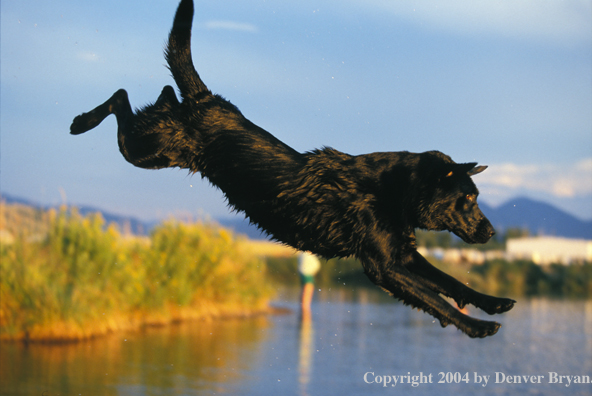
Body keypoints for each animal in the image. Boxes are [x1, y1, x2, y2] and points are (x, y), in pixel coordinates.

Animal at [70, 0, 512, 338]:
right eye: (467, 198)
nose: (492, 232)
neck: (394, 190)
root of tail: (207, 99)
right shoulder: (383, 266)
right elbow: (436, 298)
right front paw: (476, 327)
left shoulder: (402, 253)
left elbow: (451, 282)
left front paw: (493, 302)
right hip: (146, 151)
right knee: (121, 99)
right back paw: (81, 121)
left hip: (156, 146)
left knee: (155, 95)